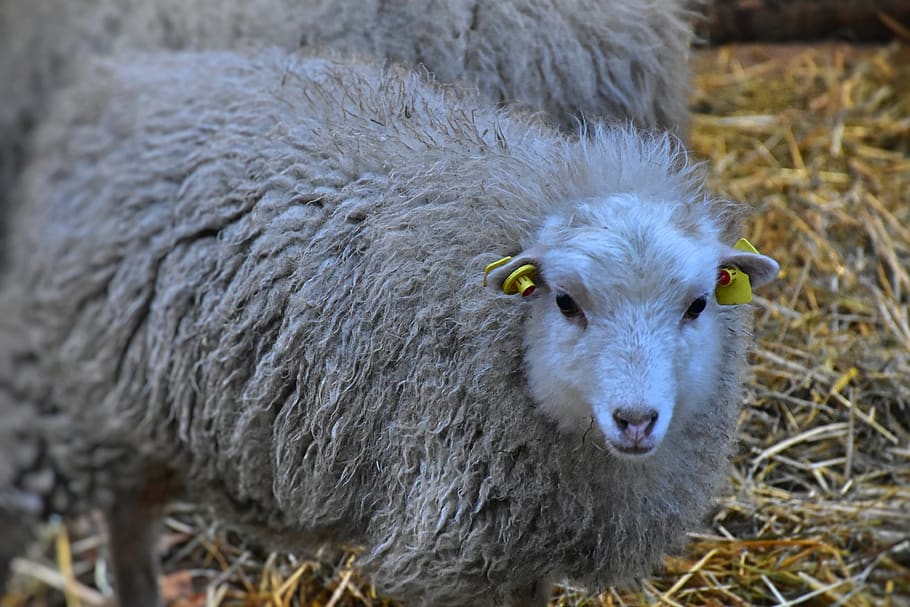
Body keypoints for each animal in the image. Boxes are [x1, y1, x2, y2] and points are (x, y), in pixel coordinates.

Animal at [0, 49, 778, 606]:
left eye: (698, 305)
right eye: (565, 302)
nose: (636, 419)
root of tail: (112, 84)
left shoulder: (524, 548)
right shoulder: (454, 548)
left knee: (128, 516)